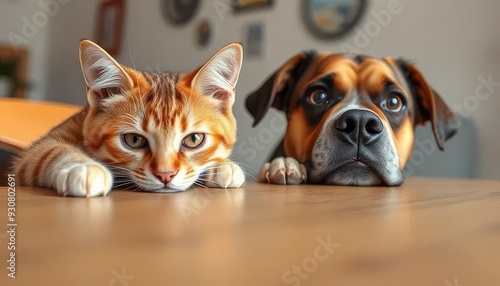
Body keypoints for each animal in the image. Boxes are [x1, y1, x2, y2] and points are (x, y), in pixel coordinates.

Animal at [13, 39, 244, 197]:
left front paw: (223, 166)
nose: (166, 175)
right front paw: (83, 167)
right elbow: (49, 150)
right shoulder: (31, 156)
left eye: (194, 139)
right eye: (134, 140)